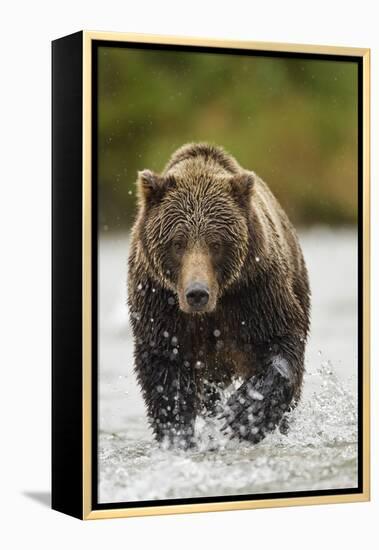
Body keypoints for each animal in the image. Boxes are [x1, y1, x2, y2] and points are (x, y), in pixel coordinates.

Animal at [127, 144, 312, 450]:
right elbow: (165, 370)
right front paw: (178, 434)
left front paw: (245, 413)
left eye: (216, 243)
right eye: (177, 243)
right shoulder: (160, 304)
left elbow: (281, 340)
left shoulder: (255, 290)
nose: (197, 294)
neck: (213, 309)